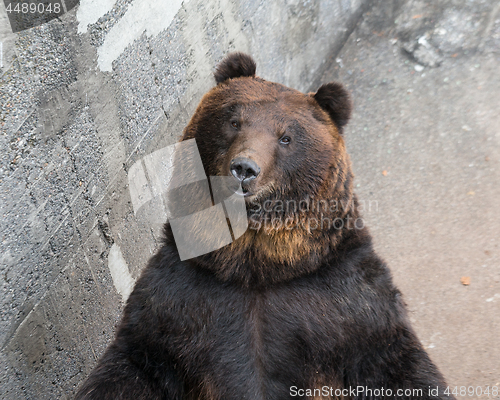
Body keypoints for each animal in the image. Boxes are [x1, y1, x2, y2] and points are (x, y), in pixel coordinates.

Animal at [75, 53, 458, 400]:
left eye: (286, 137)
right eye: (234, 121)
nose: (244, 168)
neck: (257, 267)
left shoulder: (346, 300)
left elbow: (396, 365)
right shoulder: (179, 299)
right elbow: (134, 365)